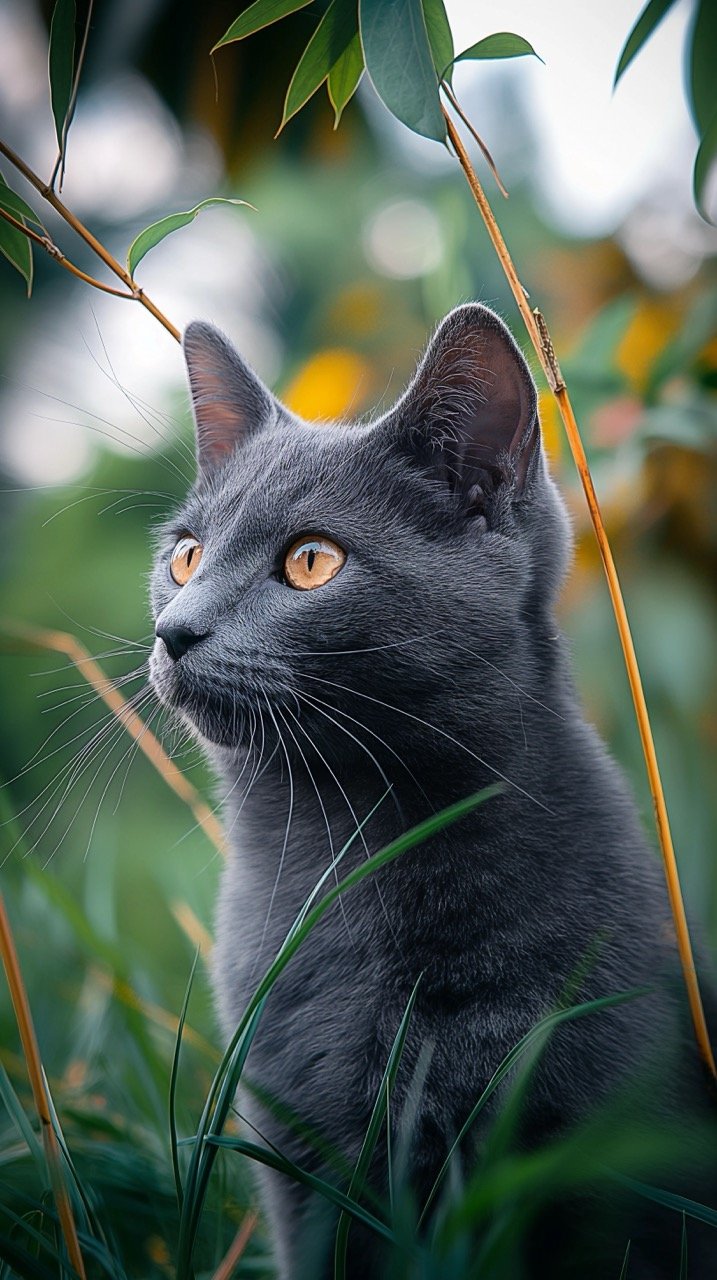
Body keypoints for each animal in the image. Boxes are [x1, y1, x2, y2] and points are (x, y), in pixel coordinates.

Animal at [148, 304, 711, 1274]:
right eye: (185, 557)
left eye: (310, 562)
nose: (173, 630)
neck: (342, 858)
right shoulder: (299, 1155)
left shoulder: (607, 1151)